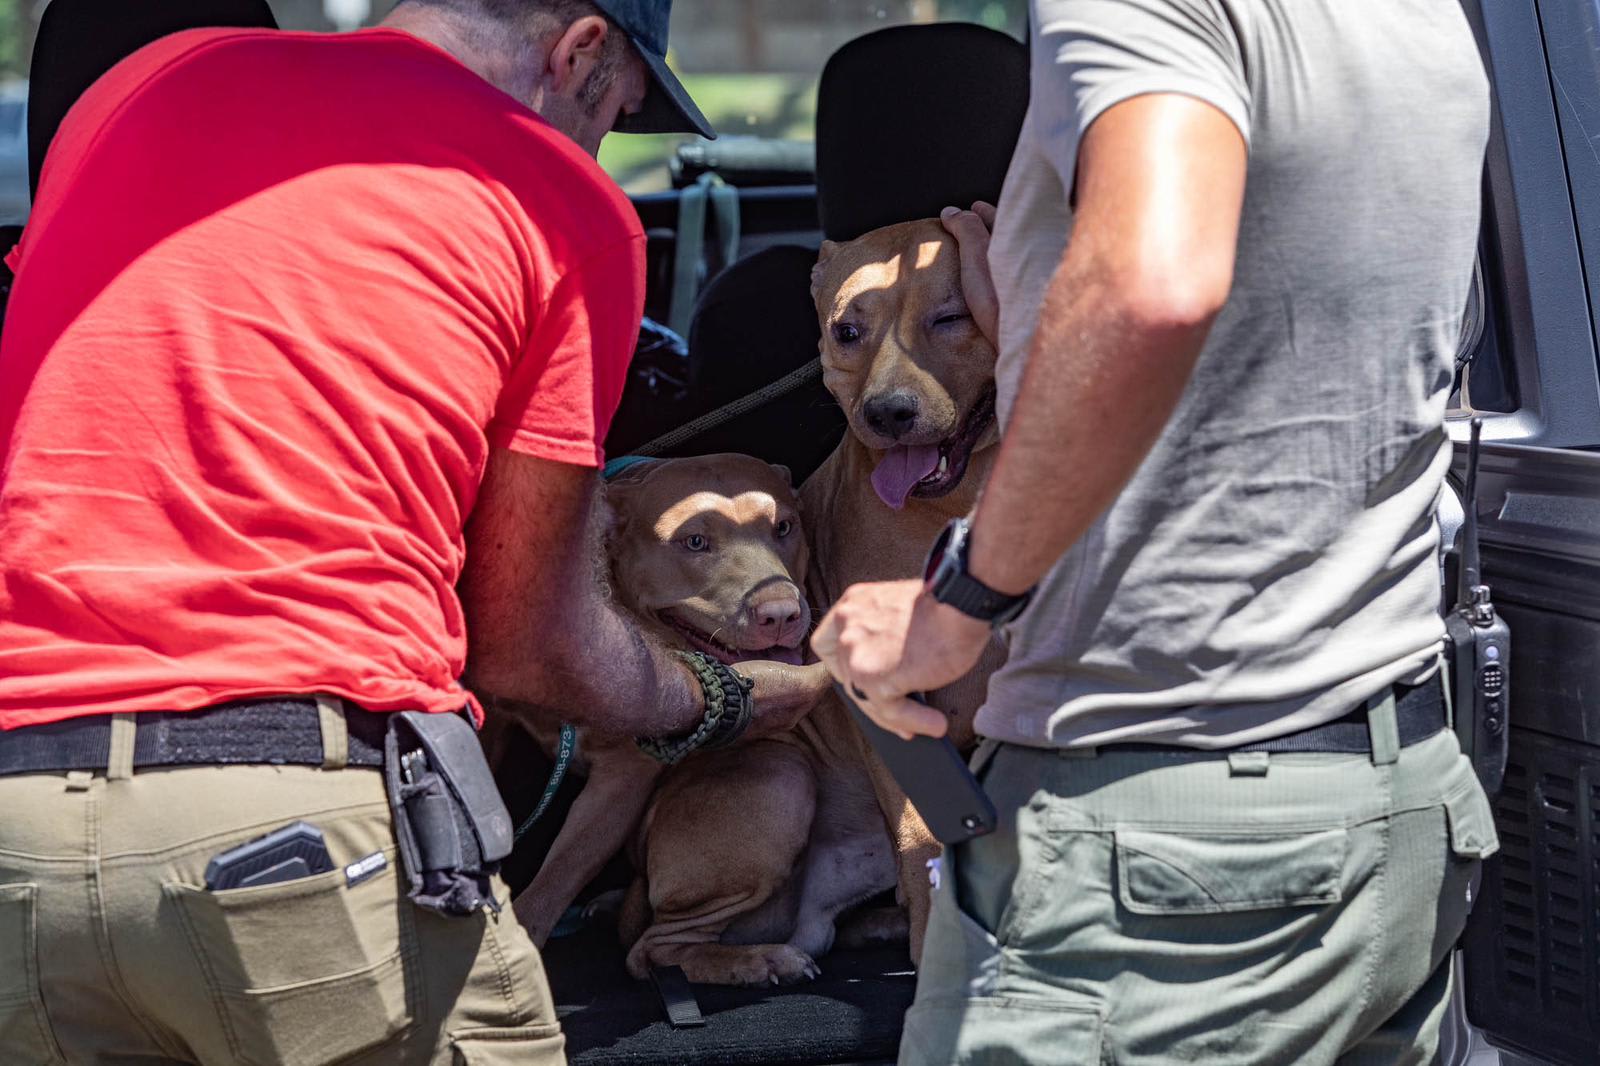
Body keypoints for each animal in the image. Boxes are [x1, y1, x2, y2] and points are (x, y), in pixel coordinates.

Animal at [480, 451, 819, 941]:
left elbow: (558, 878)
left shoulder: (622, 779)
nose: (780, 614)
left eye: (785, 527)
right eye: (694, 541)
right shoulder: (495, 716)